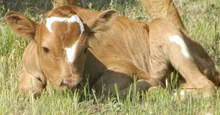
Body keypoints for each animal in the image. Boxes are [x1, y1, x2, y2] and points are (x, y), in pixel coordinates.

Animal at [5, 5, 220, 99]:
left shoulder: (127, 70)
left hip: (163, 28)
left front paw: (151, 87)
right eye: (46, 49)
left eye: (86, 48)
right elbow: (28, 91)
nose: (71, 82)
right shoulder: (28, 72)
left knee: (207, 87)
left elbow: (103, 89)